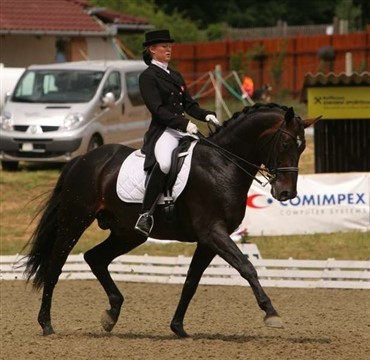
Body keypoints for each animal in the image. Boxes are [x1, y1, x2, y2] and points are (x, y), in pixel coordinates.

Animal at [23, 102, 316, 336]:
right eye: (285, 144)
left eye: (302, 147)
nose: (287, 193)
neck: (223, 164)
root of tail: (83, 159)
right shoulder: (213, 232)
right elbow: (247, 267)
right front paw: (271, 313)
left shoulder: (207, 240)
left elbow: (191, 282)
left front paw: (178, 327)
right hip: (75, 221)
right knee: (55, 266)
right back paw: (46, 324)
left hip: (128, 233)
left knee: (94, 258)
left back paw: (111, 315)